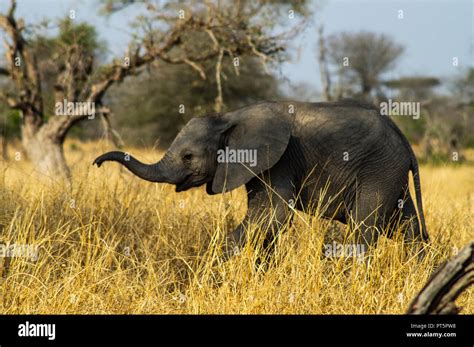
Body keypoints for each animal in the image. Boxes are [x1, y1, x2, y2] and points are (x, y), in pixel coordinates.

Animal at [93, 100, 430, 264]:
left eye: (188, 156)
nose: (96, 163)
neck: (228, 117)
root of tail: (404, 141)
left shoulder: (279, 159)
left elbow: (272, 215)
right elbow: (267, 223)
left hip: (379, 169)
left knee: (365, 227)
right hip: (389, 172)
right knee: (405, 226)